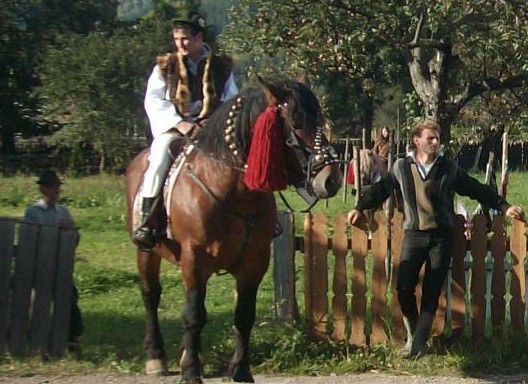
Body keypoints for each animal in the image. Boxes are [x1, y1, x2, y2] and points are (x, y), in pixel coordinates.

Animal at [126, 76, 340, 382]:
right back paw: (157, 356)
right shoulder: (194, 260)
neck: (230, 189)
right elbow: (193, 314)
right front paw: (190, 371)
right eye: (296, 122)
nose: (331, 179)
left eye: (320, 118)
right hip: (147, 251)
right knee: (150, 294)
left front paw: (239, 369)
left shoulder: (254, 262)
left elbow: (243, 315)